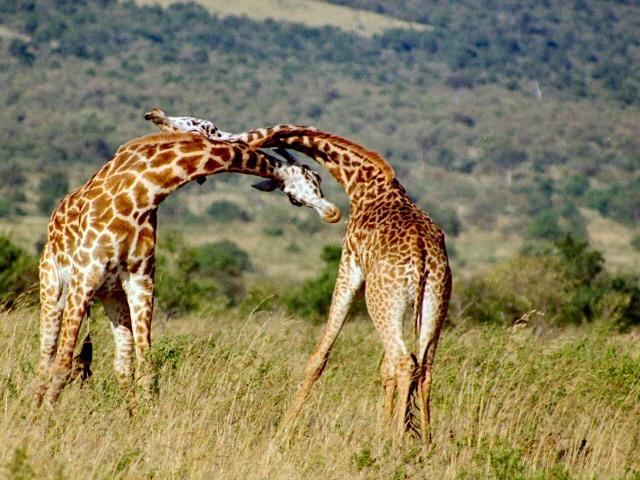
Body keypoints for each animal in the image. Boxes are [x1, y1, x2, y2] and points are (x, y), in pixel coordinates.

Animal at [37, 130, 342, 404]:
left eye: (318, 178)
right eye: (297, 194)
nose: (333, 213)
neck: (144, 192)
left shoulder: (140, 280)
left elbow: (147, 369)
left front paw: (146, 422)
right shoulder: (85, 277)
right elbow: (61, 366)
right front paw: (48, 424)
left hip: (112, 295)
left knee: (122, 364)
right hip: (55, 287)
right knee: (46, 357)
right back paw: (37, 409)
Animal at [220, 123, 450, 442]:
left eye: (294, 195)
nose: (330, 214)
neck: (362, 182)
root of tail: (422, 255)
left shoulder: (349, 267)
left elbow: (319, 357)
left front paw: (284, 429)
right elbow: (384, 370)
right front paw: (383, 429)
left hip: (382, 301)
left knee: (405, 363)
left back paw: (396, 444)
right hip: (434, 302)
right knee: (423, 367)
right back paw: (425, 442)